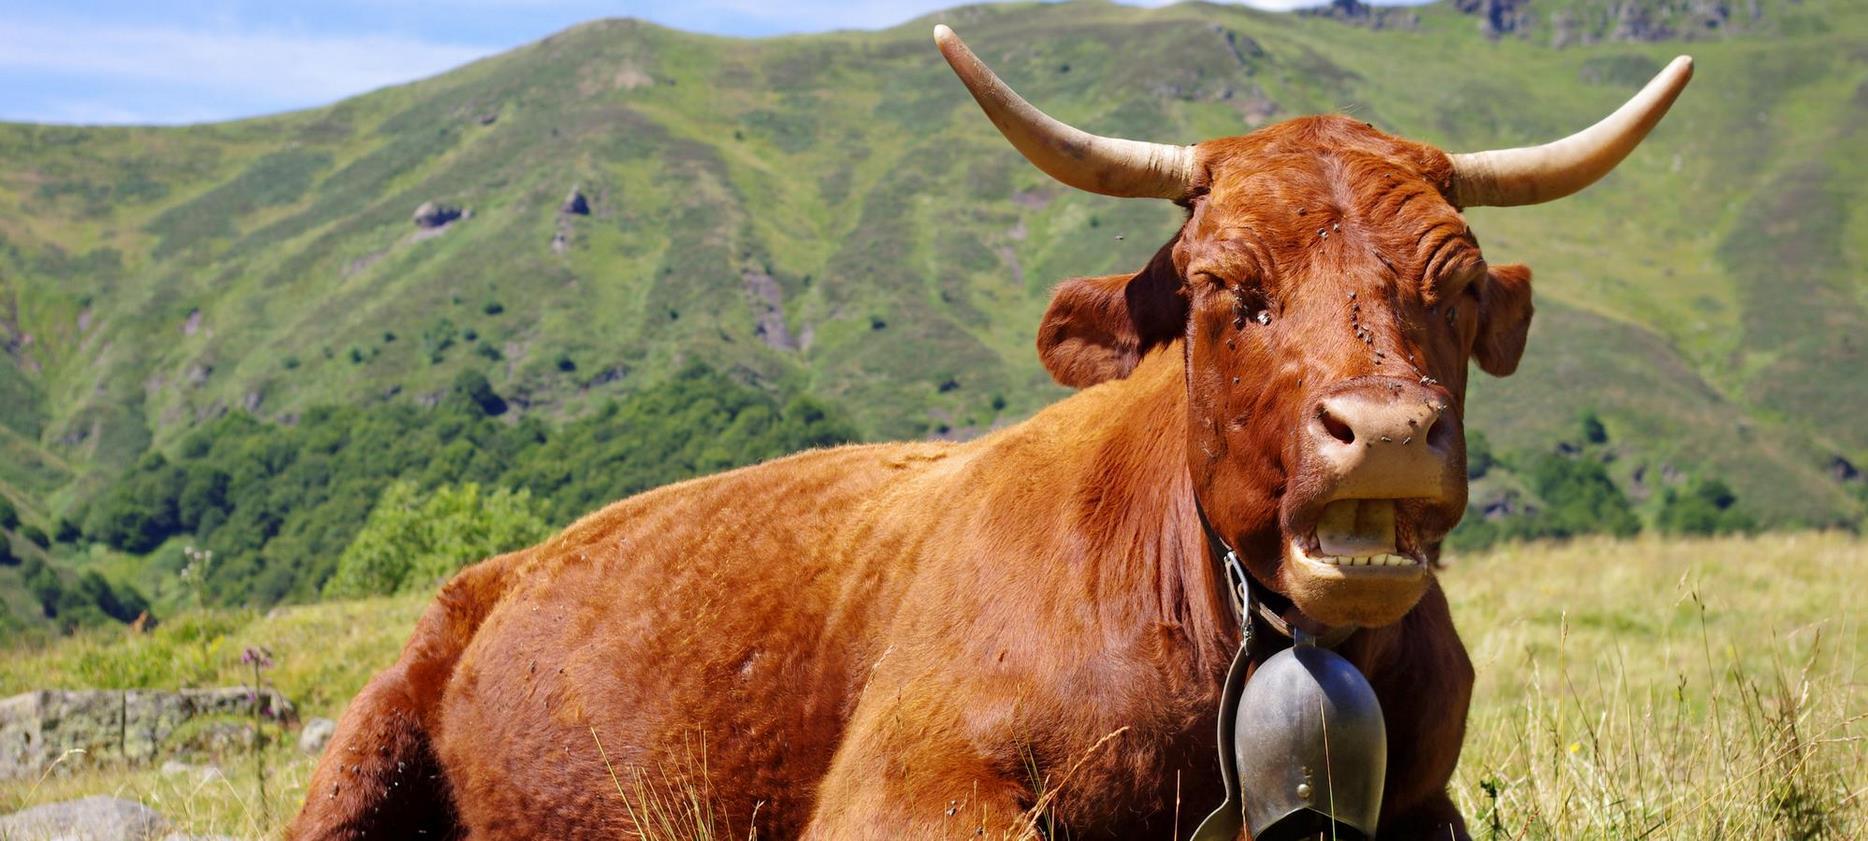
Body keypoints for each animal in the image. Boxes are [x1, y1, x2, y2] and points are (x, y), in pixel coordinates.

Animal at [287, 26, 1696, 841]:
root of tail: (498, 570)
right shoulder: (904, 787)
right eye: (1224, 285)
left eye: (1453, 288)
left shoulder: (1424, 797)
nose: (1389, 431)